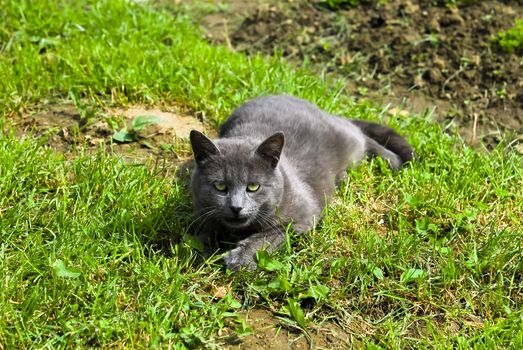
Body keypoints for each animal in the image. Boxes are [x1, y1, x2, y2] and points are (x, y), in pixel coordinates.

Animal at [190, 95, 416, 270]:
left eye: (253, 187)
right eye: (220, 186)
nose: (236, 207)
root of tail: (326, 112)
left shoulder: (304, 215)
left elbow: (267, 236)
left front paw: (240, 258)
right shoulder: (202, 209)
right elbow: (204, 228)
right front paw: (199, 247)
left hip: (349, 141)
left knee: (363, 138)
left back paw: (392, 161)